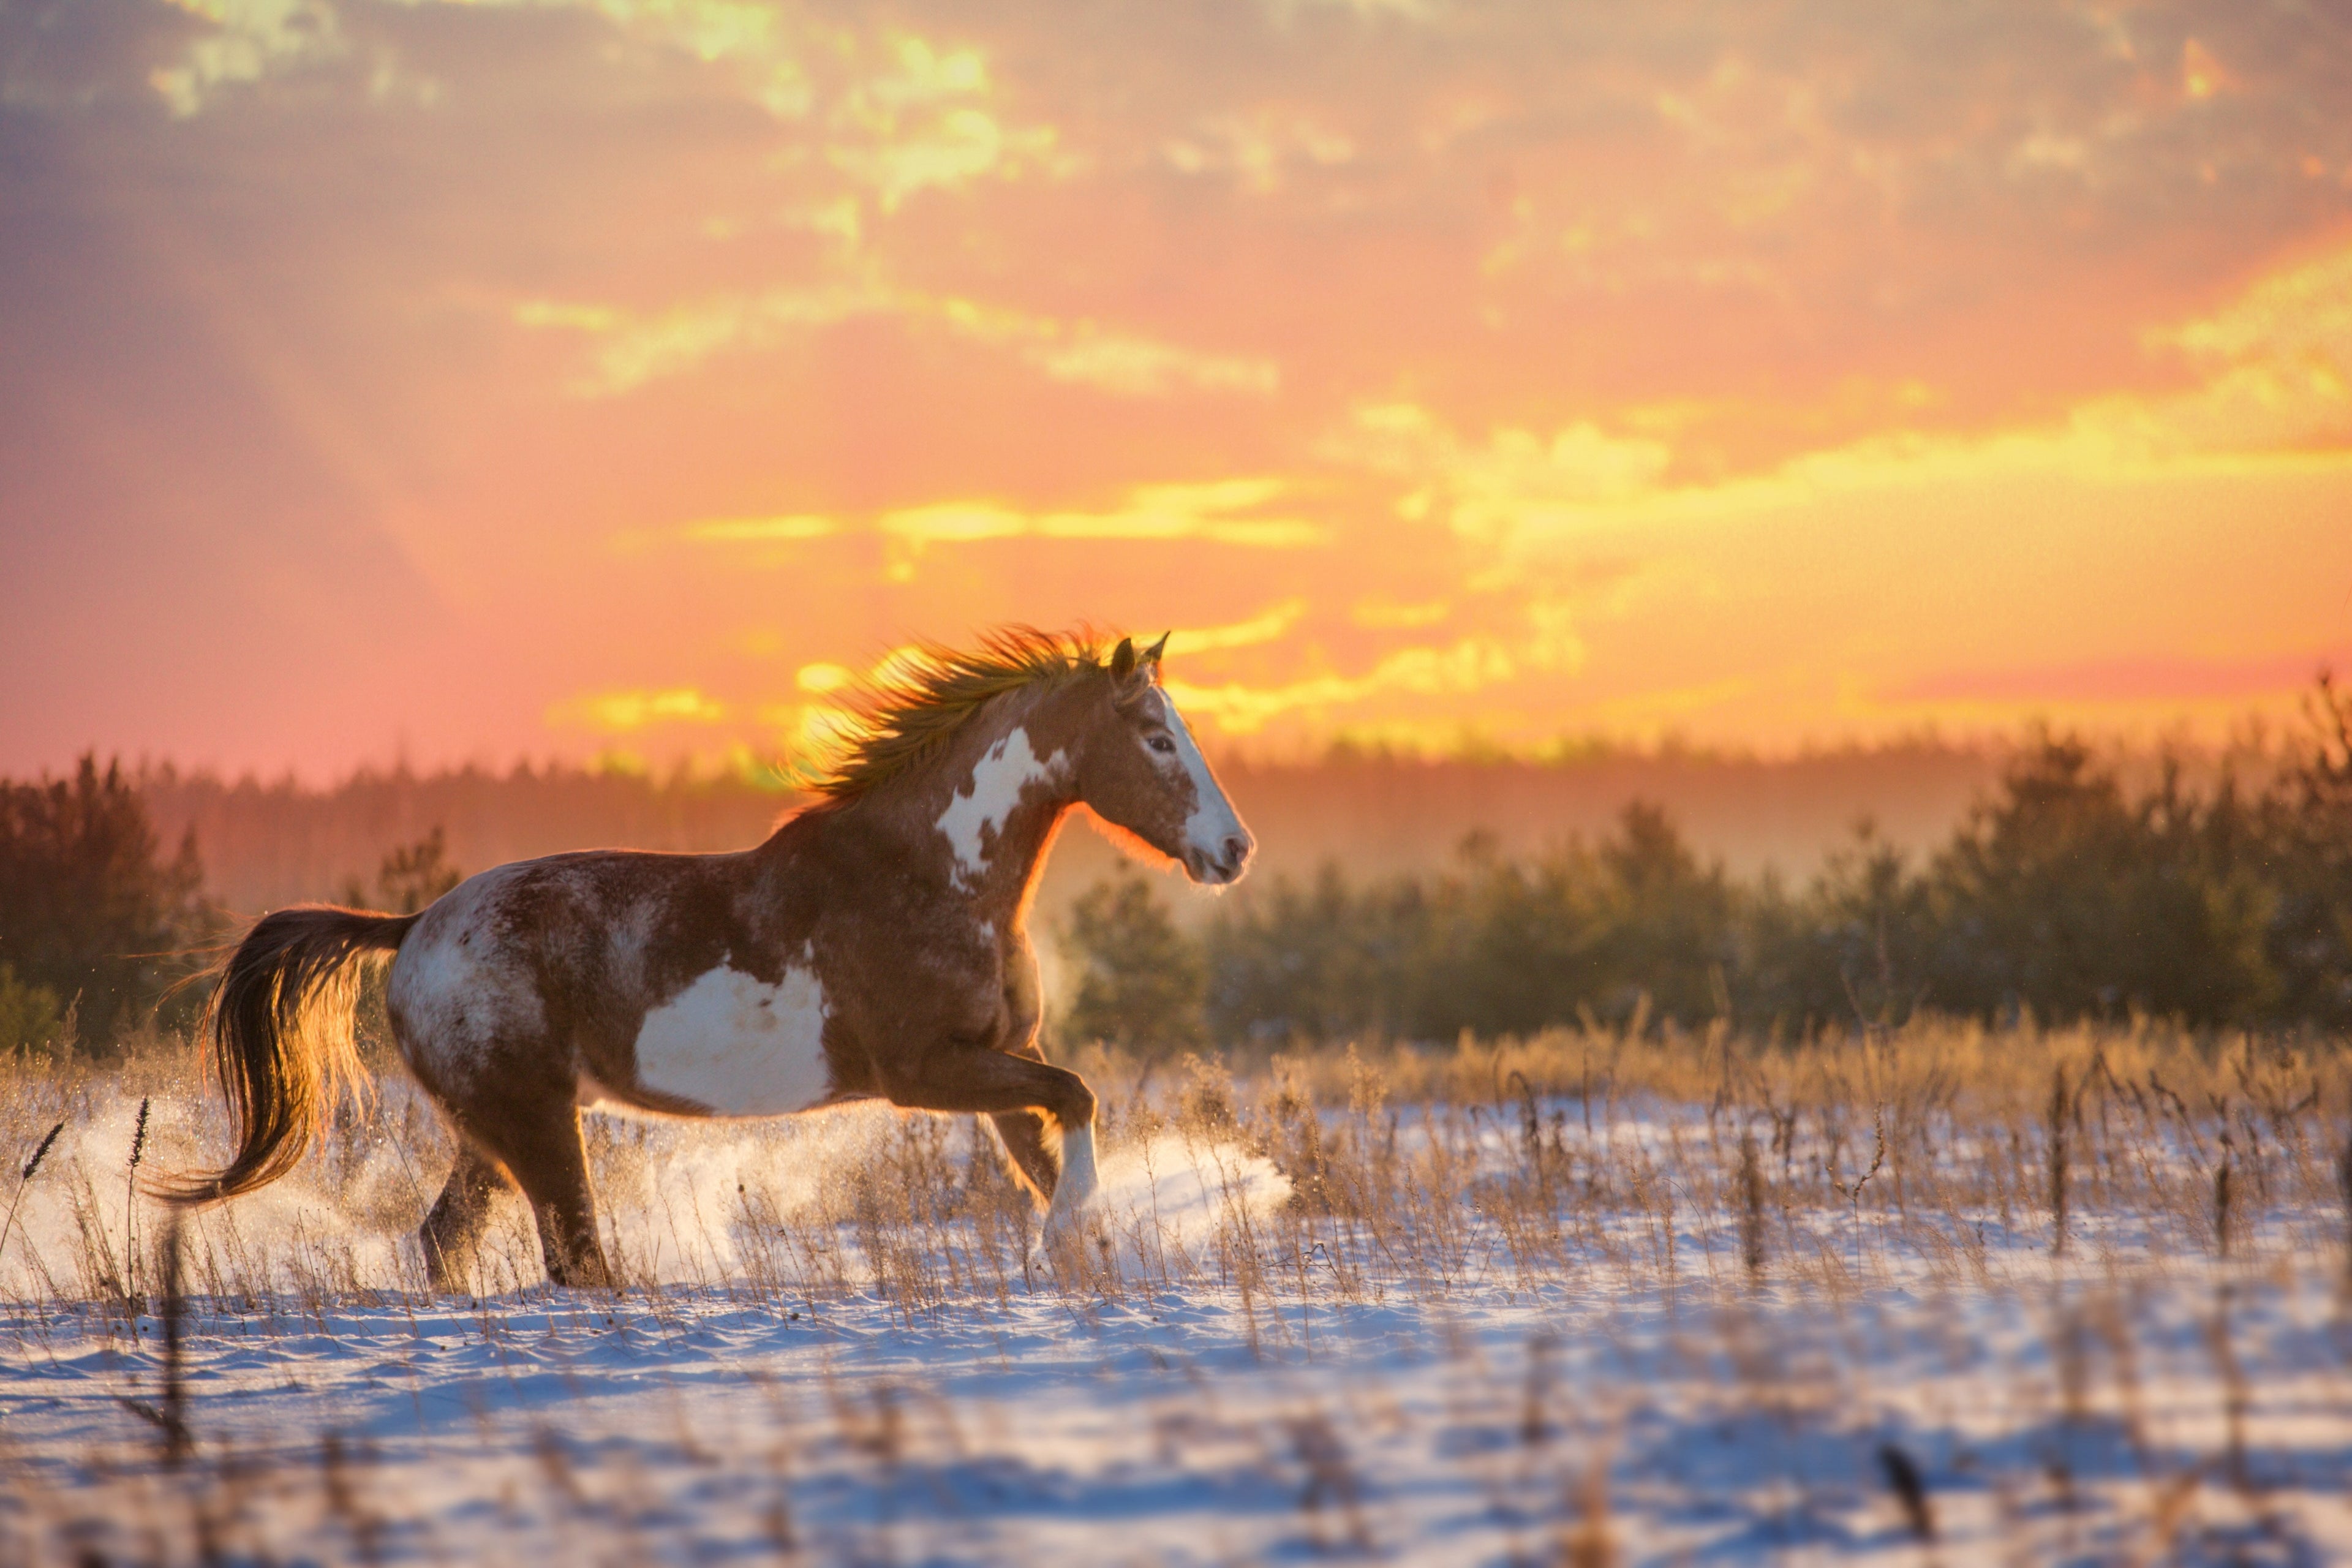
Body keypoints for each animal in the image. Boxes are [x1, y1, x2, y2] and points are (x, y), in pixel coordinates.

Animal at [161, 629, 1254, 1288]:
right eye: (1155, 737)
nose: (1233, 850)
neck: (932, 878)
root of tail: (416, 923)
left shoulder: (999, 1061)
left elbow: (1059, 1128)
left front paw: (1084, 1253)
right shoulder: (925, 1072)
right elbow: (1079, 1096)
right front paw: (1066, 1238)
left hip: (490, 1132)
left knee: (447, 1244)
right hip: (535, 1124)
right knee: (574, 1257)